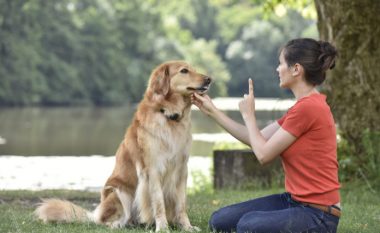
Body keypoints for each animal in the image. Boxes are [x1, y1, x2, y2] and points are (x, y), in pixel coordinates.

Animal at [35, 60, 211, 231]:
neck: (168, 115)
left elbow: (181, 204)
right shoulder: (153, 169)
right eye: (184, 71)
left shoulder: (182, 169)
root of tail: (95, 214)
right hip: (119, 192)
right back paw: (119, 224)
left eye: (193, 69)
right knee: (106, 221)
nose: (209, 79)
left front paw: (186, 227)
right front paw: (162, 227)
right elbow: (158, 202)